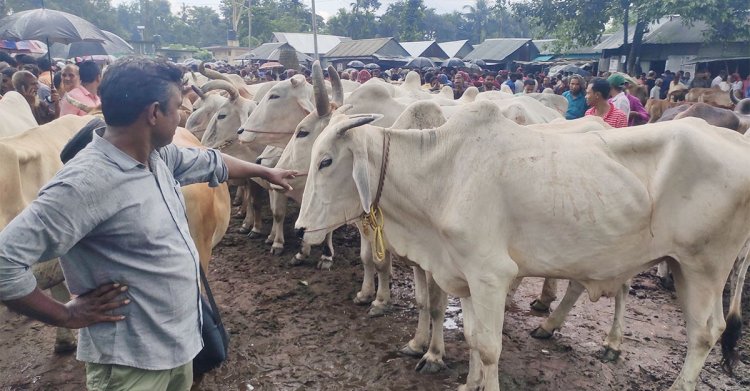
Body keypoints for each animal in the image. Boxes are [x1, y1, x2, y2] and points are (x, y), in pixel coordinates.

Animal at [300, 102, 750, 391]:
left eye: (326, 161)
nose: (303, 227)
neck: (443, 173)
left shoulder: (490, 274)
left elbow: (489, 346)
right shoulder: (463, 273)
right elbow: (472, 336)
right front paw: (469, 384)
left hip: (706, 266)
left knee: (706, 332)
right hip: (671, 262)